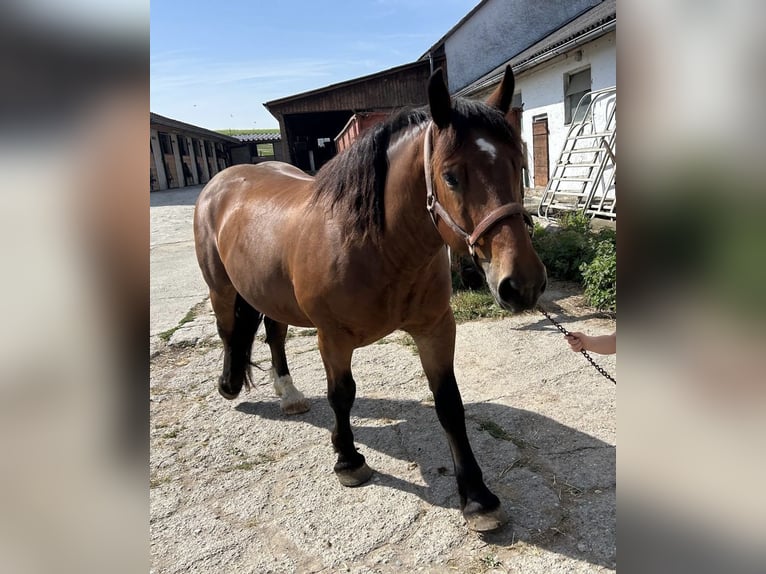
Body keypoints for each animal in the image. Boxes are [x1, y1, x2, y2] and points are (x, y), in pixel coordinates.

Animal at [193, 66, 547, 531]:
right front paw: (348, 460)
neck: (373, 243)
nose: (522, 284)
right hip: (221, 288)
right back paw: (230, 384)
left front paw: (477, 497)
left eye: (519, 165)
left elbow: (449, 403)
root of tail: (225, 179)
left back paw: (288, 395)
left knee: (274, 334)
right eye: (450, 176)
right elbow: (341, 394)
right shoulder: (332, 337)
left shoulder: (436, 328)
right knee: (229, 331)